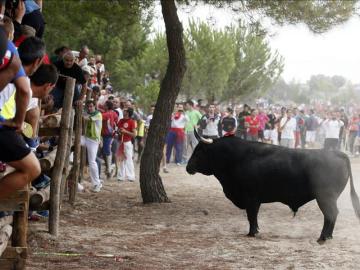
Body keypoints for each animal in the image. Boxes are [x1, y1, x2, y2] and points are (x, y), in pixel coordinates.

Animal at [186, 135, 360, 243]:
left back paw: (323, 237)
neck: (235, 157)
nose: (188, 167)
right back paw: (328, 236)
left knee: (331, 214)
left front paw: (252, 233)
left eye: (199, 151)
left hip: (325, 198)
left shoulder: (251, 198)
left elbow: (251, 216)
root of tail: (338, 154)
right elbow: (253, 217)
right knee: (331, 215)